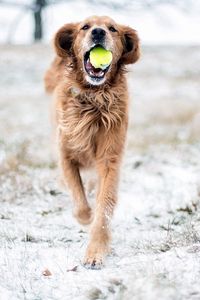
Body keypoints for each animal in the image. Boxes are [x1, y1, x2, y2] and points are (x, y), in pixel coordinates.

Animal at [44, 15, 140, 270]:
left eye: (113, 29)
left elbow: (104, 206)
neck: (94, 98)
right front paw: (85, 217)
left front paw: (96, 252)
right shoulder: (66, 155)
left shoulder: (109, 159)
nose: (98, 32)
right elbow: (78, 198)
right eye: (84, 27)